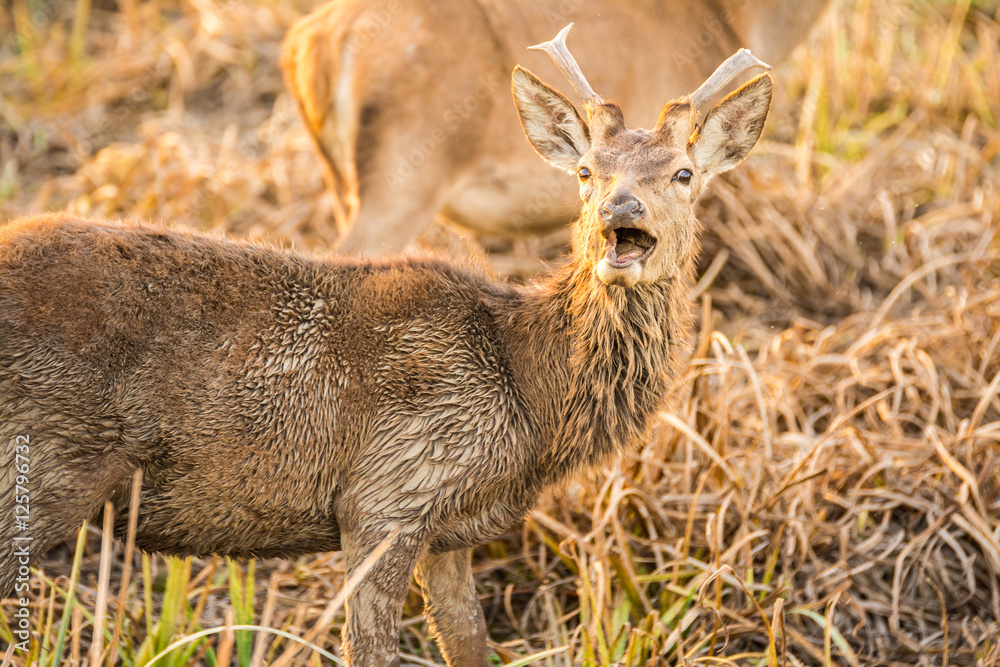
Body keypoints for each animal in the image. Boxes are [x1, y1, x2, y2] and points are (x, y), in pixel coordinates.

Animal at [1, 26, 772, 667]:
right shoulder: (388, 493)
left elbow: (470, 646)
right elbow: (371, 649)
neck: (530, 394)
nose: (621, 210)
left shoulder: (452, 531)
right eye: (587, 172)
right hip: (43, 464)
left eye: (683, 173)